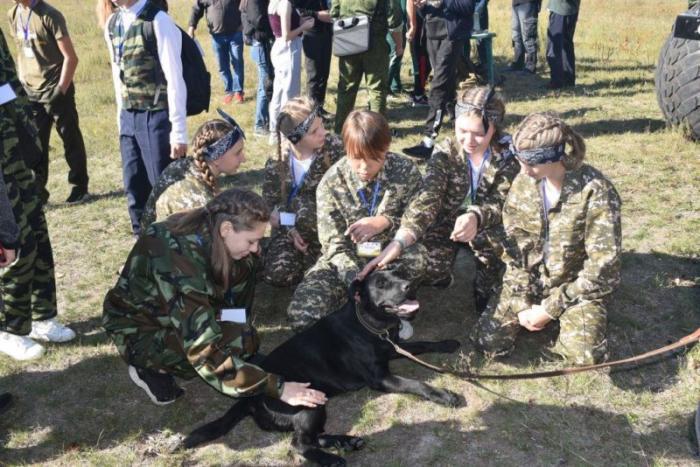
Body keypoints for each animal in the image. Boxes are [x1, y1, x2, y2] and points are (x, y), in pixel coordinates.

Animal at [183, 268, 462, 466]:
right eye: (381, 284)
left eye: (400, 273)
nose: (410, 285)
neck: (369, 323)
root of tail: (249, 398)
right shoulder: (380, 378)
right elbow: (416, 383)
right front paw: (444, 394)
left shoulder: (393, 347)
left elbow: (422, 345)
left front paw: (447, 344)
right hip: (308, 402)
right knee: (300, 444)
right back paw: (332, 458)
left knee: (313, 437)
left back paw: (346, 442)